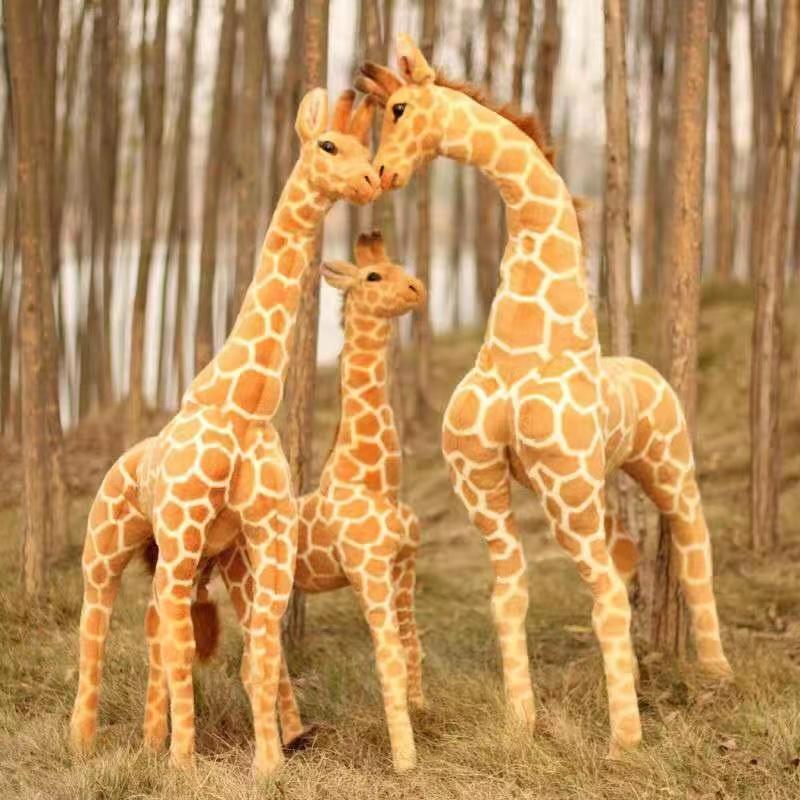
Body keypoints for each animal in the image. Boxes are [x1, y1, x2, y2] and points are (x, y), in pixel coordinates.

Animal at [69, 89, 380, 777]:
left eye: (366, 145)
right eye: (328, 145)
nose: (374, 180)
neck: (245, 404)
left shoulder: (268, 534)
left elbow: (257, 652)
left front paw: (269, 761)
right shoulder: (183, 530)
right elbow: (189, 649)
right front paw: (185, 764)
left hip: (209, 559)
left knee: (158, 627)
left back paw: (150, 739)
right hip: (108, 546)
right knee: (97, 626)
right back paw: (86, 741)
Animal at [144, 231, 427, 772]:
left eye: (403, 266)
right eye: (373, 276)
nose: (418, 289)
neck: (376, 478)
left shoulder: (403, 565)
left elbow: (411, 644)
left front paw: (424, 715)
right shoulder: (369, 570)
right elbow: (388, 657)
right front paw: (405, 760)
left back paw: (292, 736)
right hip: (240, 577)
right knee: (239, 654)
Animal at [356, 35, 730, 757]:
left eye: (398, 107)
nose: (382, 173)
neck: (525, 343)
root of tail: (651, 371)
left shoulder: (560, 482)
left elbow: (604, 598)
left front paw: (624, 743)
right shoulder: (480, 480)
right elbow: (509, 595)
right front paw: (519, 725)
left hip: (664, 469)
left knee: (690, 544)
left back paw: (717, 670)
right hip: (594, 488)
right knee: (624, 555)